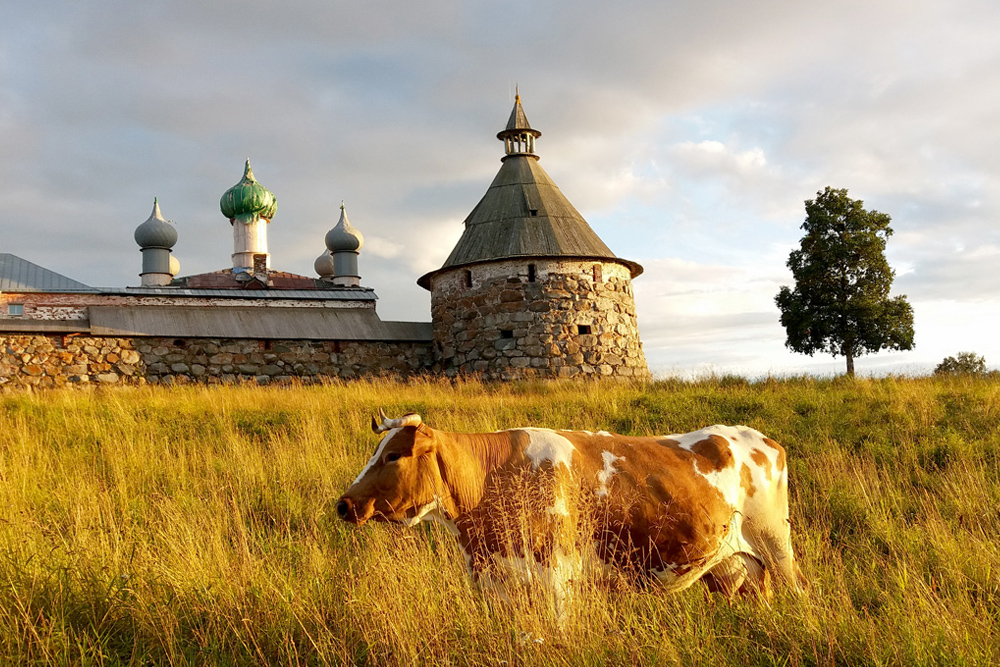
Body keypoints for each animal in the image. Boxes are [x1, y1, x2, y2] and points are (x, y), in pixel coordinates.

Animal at [336, 410, 804, 608]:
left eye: (394, 455)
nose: (344, 504)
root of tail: (756, 435)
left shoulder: (556, 578)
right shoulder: (494, 582)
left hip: (777, 546)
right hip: (734, 567)